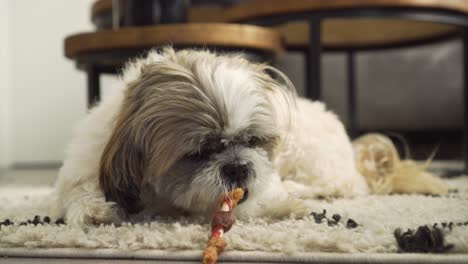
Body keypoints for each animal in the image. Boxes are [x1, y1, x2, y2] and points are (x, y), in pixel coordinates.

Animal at [52, 47, 450, 227]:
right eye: (199, 153)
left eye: (255, 141)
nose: (238, 167)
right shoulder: (85, 164)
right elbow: (77, 192)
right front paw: (94, 210)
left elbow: (262, 196)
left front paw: (284, 206)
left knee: (343, 187)